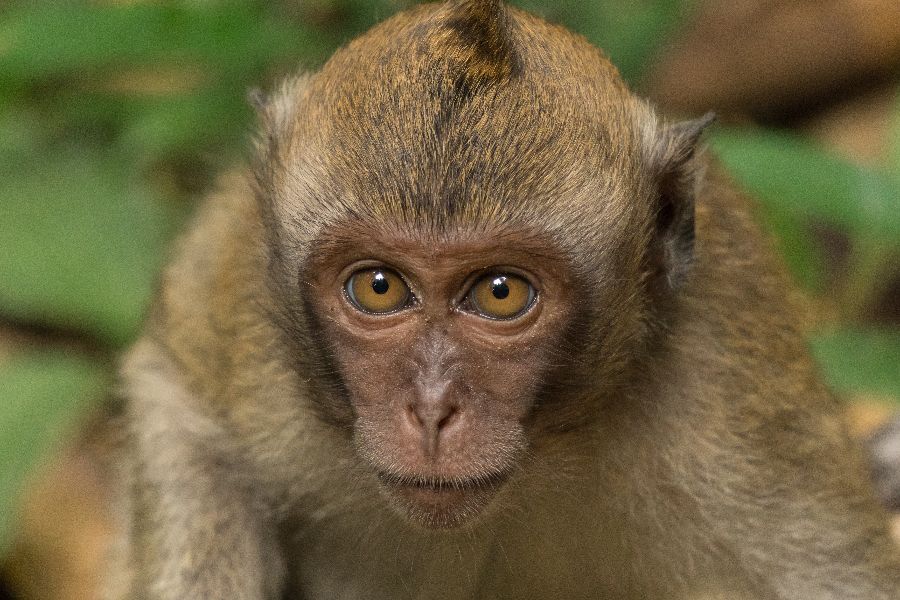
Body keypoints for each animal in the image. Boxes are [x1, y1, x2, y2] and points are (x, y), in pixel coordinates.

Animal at [110, 0, 900, 596]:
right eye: (378, 286)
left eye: (499, 292)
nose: (432, 410)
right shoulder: (245, 314)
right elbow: (176, 397)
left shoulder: (730, 403)